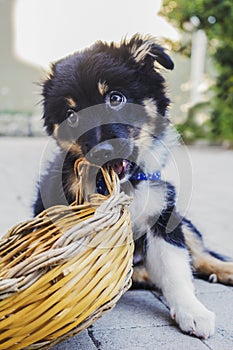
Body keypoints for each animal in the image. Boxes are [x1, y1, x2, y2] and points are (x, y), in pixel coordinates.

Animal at [34, 34, 233, 338]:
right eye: (72, 115)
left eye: (115, 98)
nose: (103, 151)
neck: (125, 187)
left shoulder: (163, 215)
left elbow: (177, 270)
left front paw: (192, 312)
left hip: (181, 218)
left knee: (200, 256)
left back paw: (224, 269)